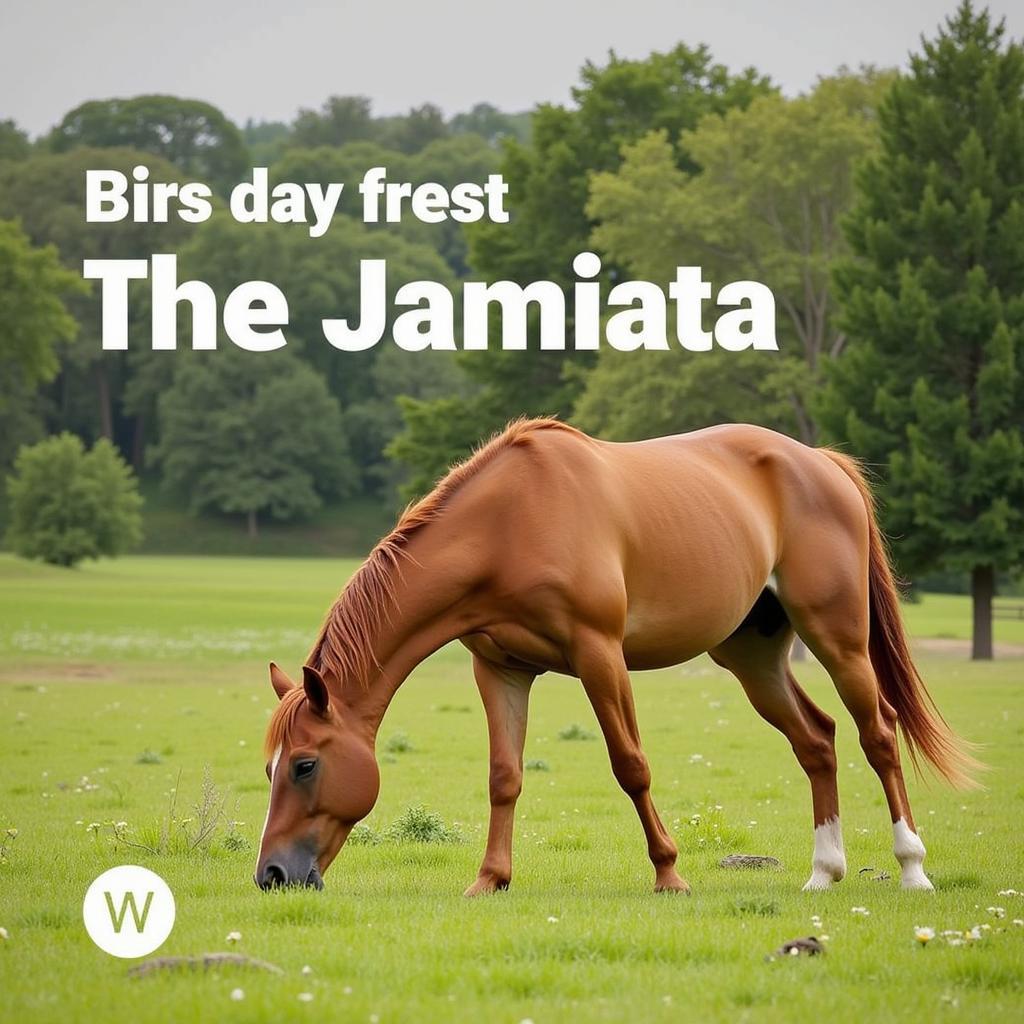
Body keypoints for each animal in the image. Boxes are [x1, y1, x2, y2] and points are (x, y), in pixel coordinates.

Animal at [253, 415, 974, 897]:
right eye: (270, 768)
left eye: (306, 765)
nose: (272, 873)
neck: (507, 523)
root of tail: (822, 462)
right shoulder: (501, 670)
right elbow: (504, 776)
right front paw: (491, 880)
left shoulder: (599, 656)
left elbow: (631, 766)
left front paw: (670, 874)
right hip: (753, 659)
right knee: (818, 740)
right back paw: (824, 873)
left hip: (838, 637)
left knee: (878, 735)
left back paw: (912, 867)